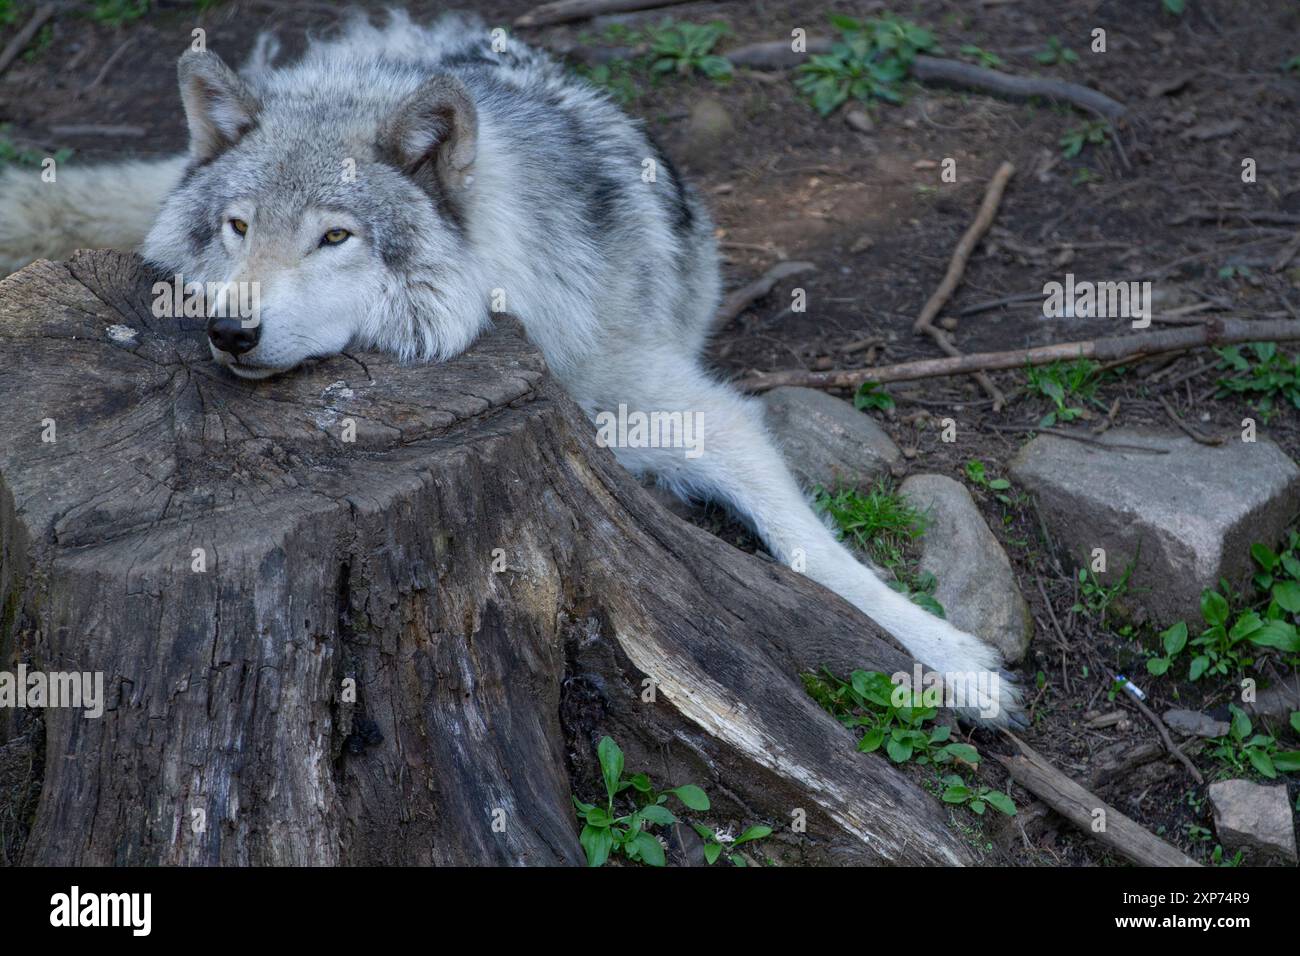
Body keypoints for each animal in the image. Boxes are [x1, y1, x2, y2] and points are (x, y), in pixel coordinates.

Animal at [0, 9, 1019, 723]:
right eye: (238, 228)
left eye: (335, 237)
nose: (230, 333)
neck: (513, 281)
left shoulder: (680, 405)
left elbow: (811, 547)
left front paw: (946, 659)